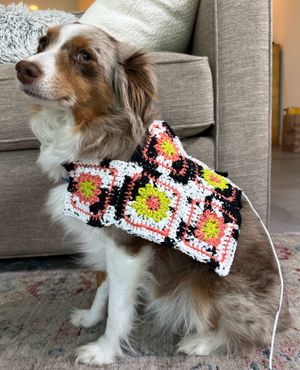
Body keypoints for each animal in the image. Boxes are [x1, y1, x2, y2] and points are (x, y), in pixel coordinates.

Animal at [14, 23, 290, 368]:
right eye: (42, 43)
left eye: (85, 56)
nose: (22, 68)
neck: (96, 136)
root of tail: (283, 314)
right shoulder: (107, 239)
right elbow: (103, 287)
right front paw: (90, 318)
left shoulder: (129, 247)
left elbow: (119, 306)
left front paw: (104, 350)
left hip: (210, 285)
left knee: (246, 331)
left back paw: (201, 342)